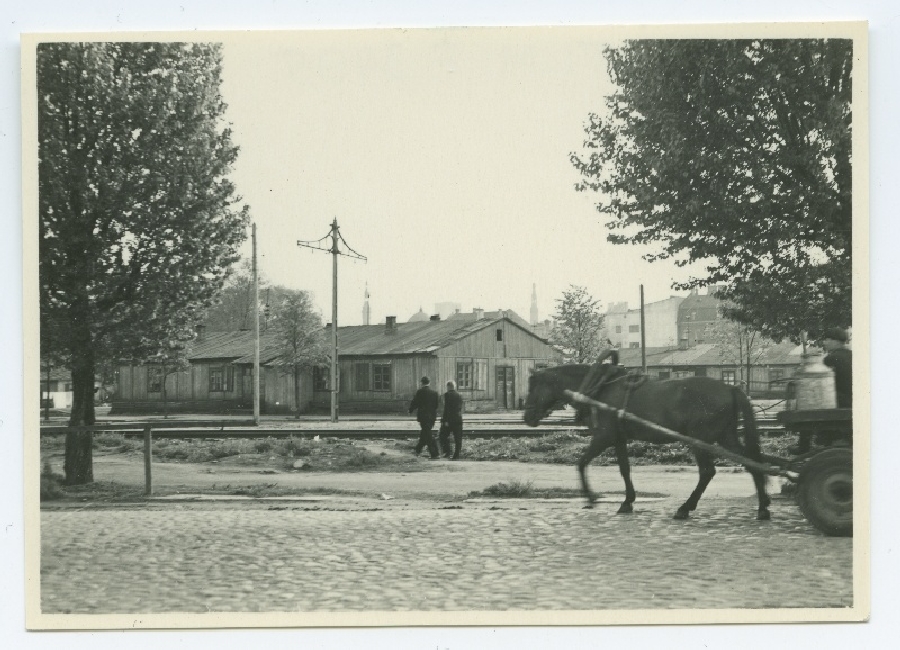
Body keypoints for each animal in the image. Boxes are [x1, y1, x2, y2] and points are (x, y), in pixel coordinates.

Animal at [524, 356, 768, 520]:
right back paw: (763, 507)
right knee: (752, 462)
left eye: (532, 387)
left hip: (701, 440)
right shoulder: (619, 438)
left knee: (707, 472)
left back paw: (685, 508)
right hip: (725, 437)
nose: (527, 417)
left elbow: (582, 462)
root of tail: (729, 388)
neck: (599, 389)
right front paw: (627, 502)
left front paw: (591, 497)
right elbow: (624, 469)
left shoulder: (604, 436)